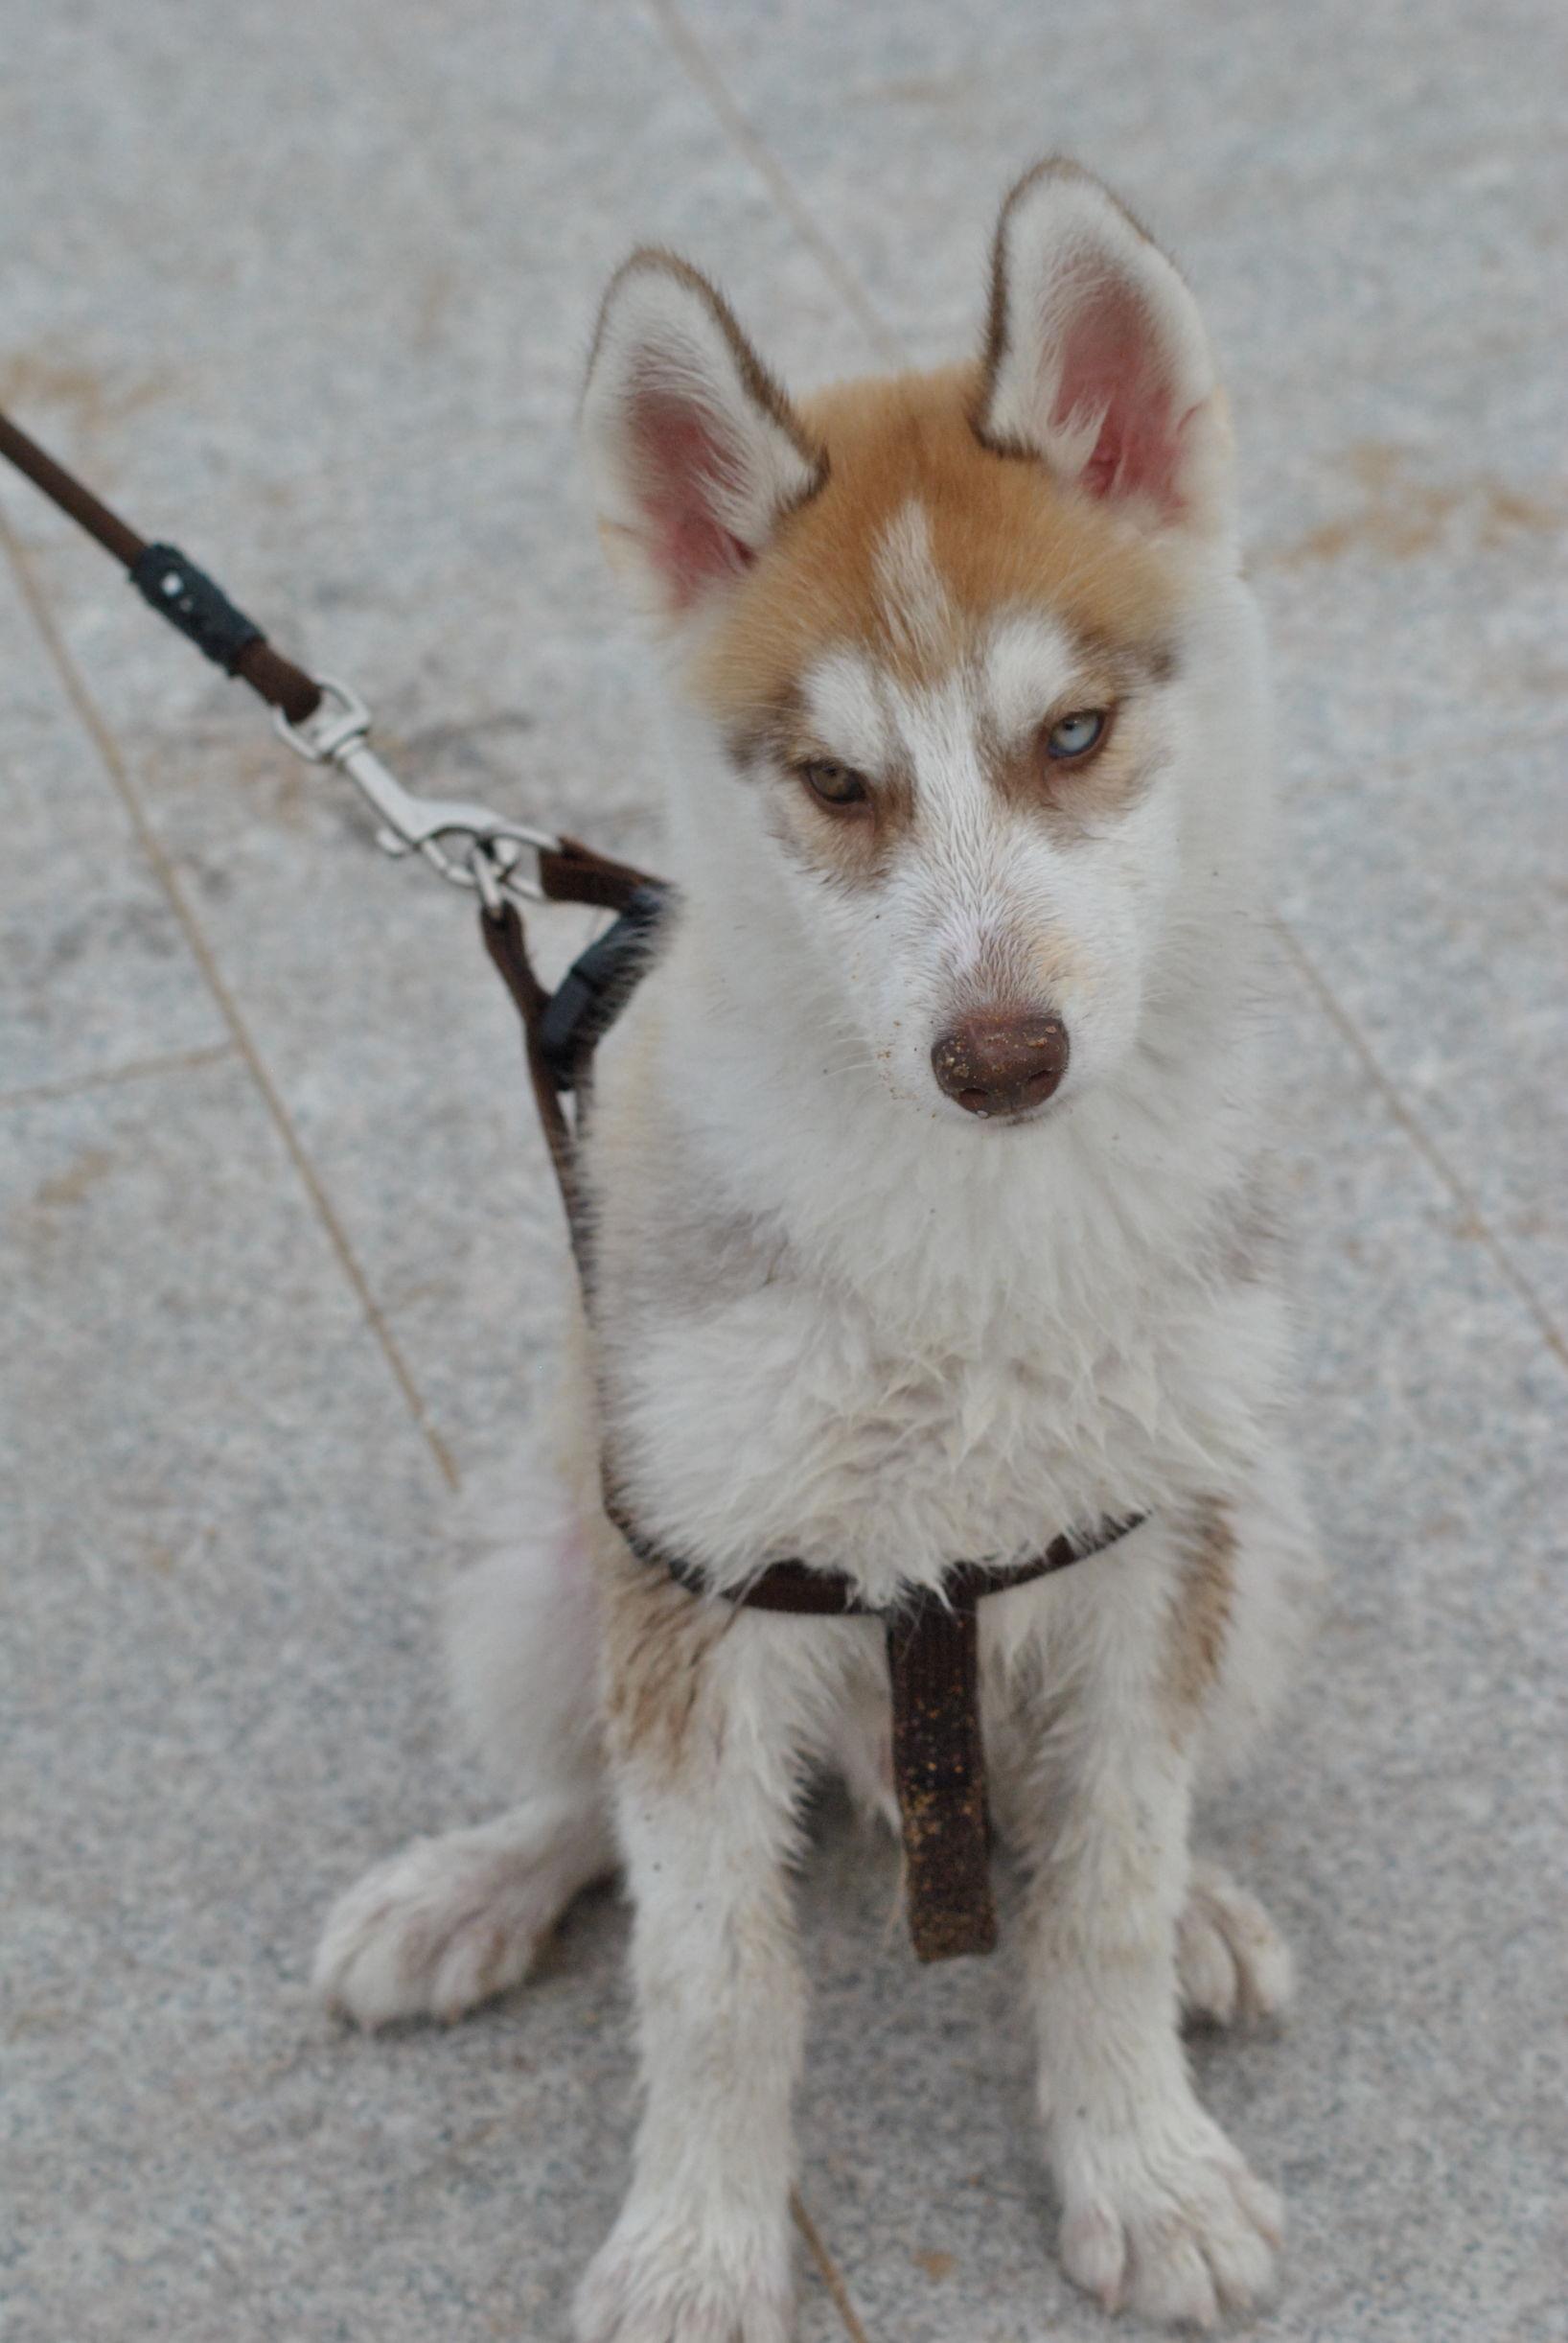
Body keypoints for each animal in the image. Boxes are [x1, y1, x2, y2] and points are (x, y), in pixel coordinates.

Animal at [318, 155, 1322, 2333]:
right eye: (839, 784)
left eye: (1072, 733)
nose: (1003, 1055)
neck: (975, 1236)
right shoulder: (697, 1582)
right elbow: (711, 1969)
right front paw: (695, 2242)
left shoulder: (1155, 1544)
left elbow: (1105, 1887)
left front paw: (1140, 2159)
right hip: (540, 1559)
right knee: (586, 1797)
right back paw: (469, 1885)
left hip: (1260, 1534)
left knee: (1094, 1817)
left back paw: (1208, 1907)